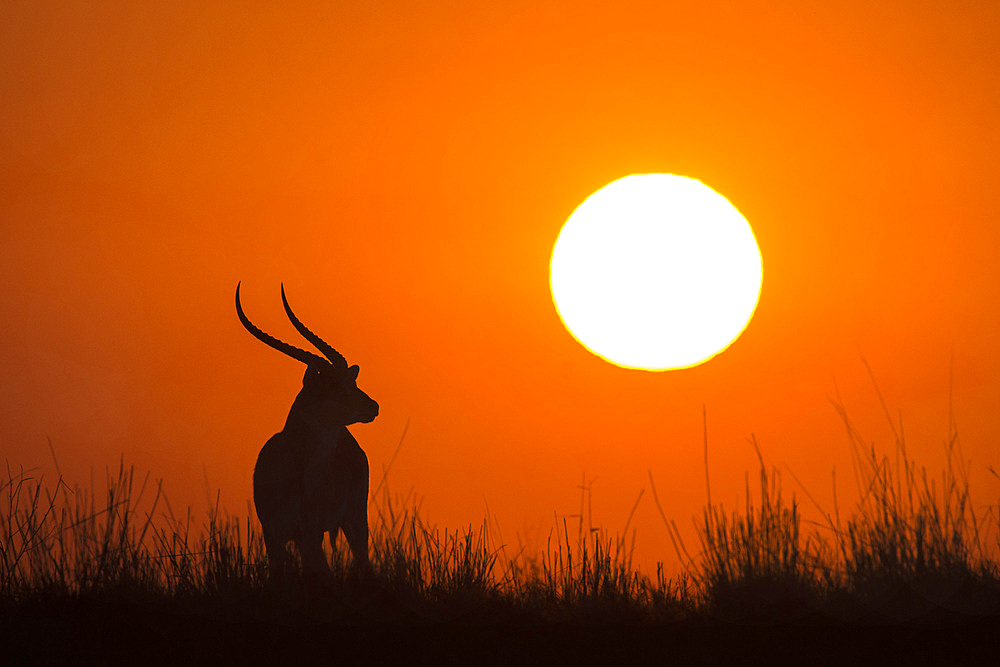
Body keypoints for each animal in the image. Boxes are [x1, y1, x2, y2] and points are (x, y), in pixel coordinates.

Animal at [234, 284, 378, 576]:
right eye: (334, 385)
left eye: (351, 381)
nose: (373, 406)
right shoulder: (274, 536)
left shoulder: (310, 534)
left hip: (354, 519)